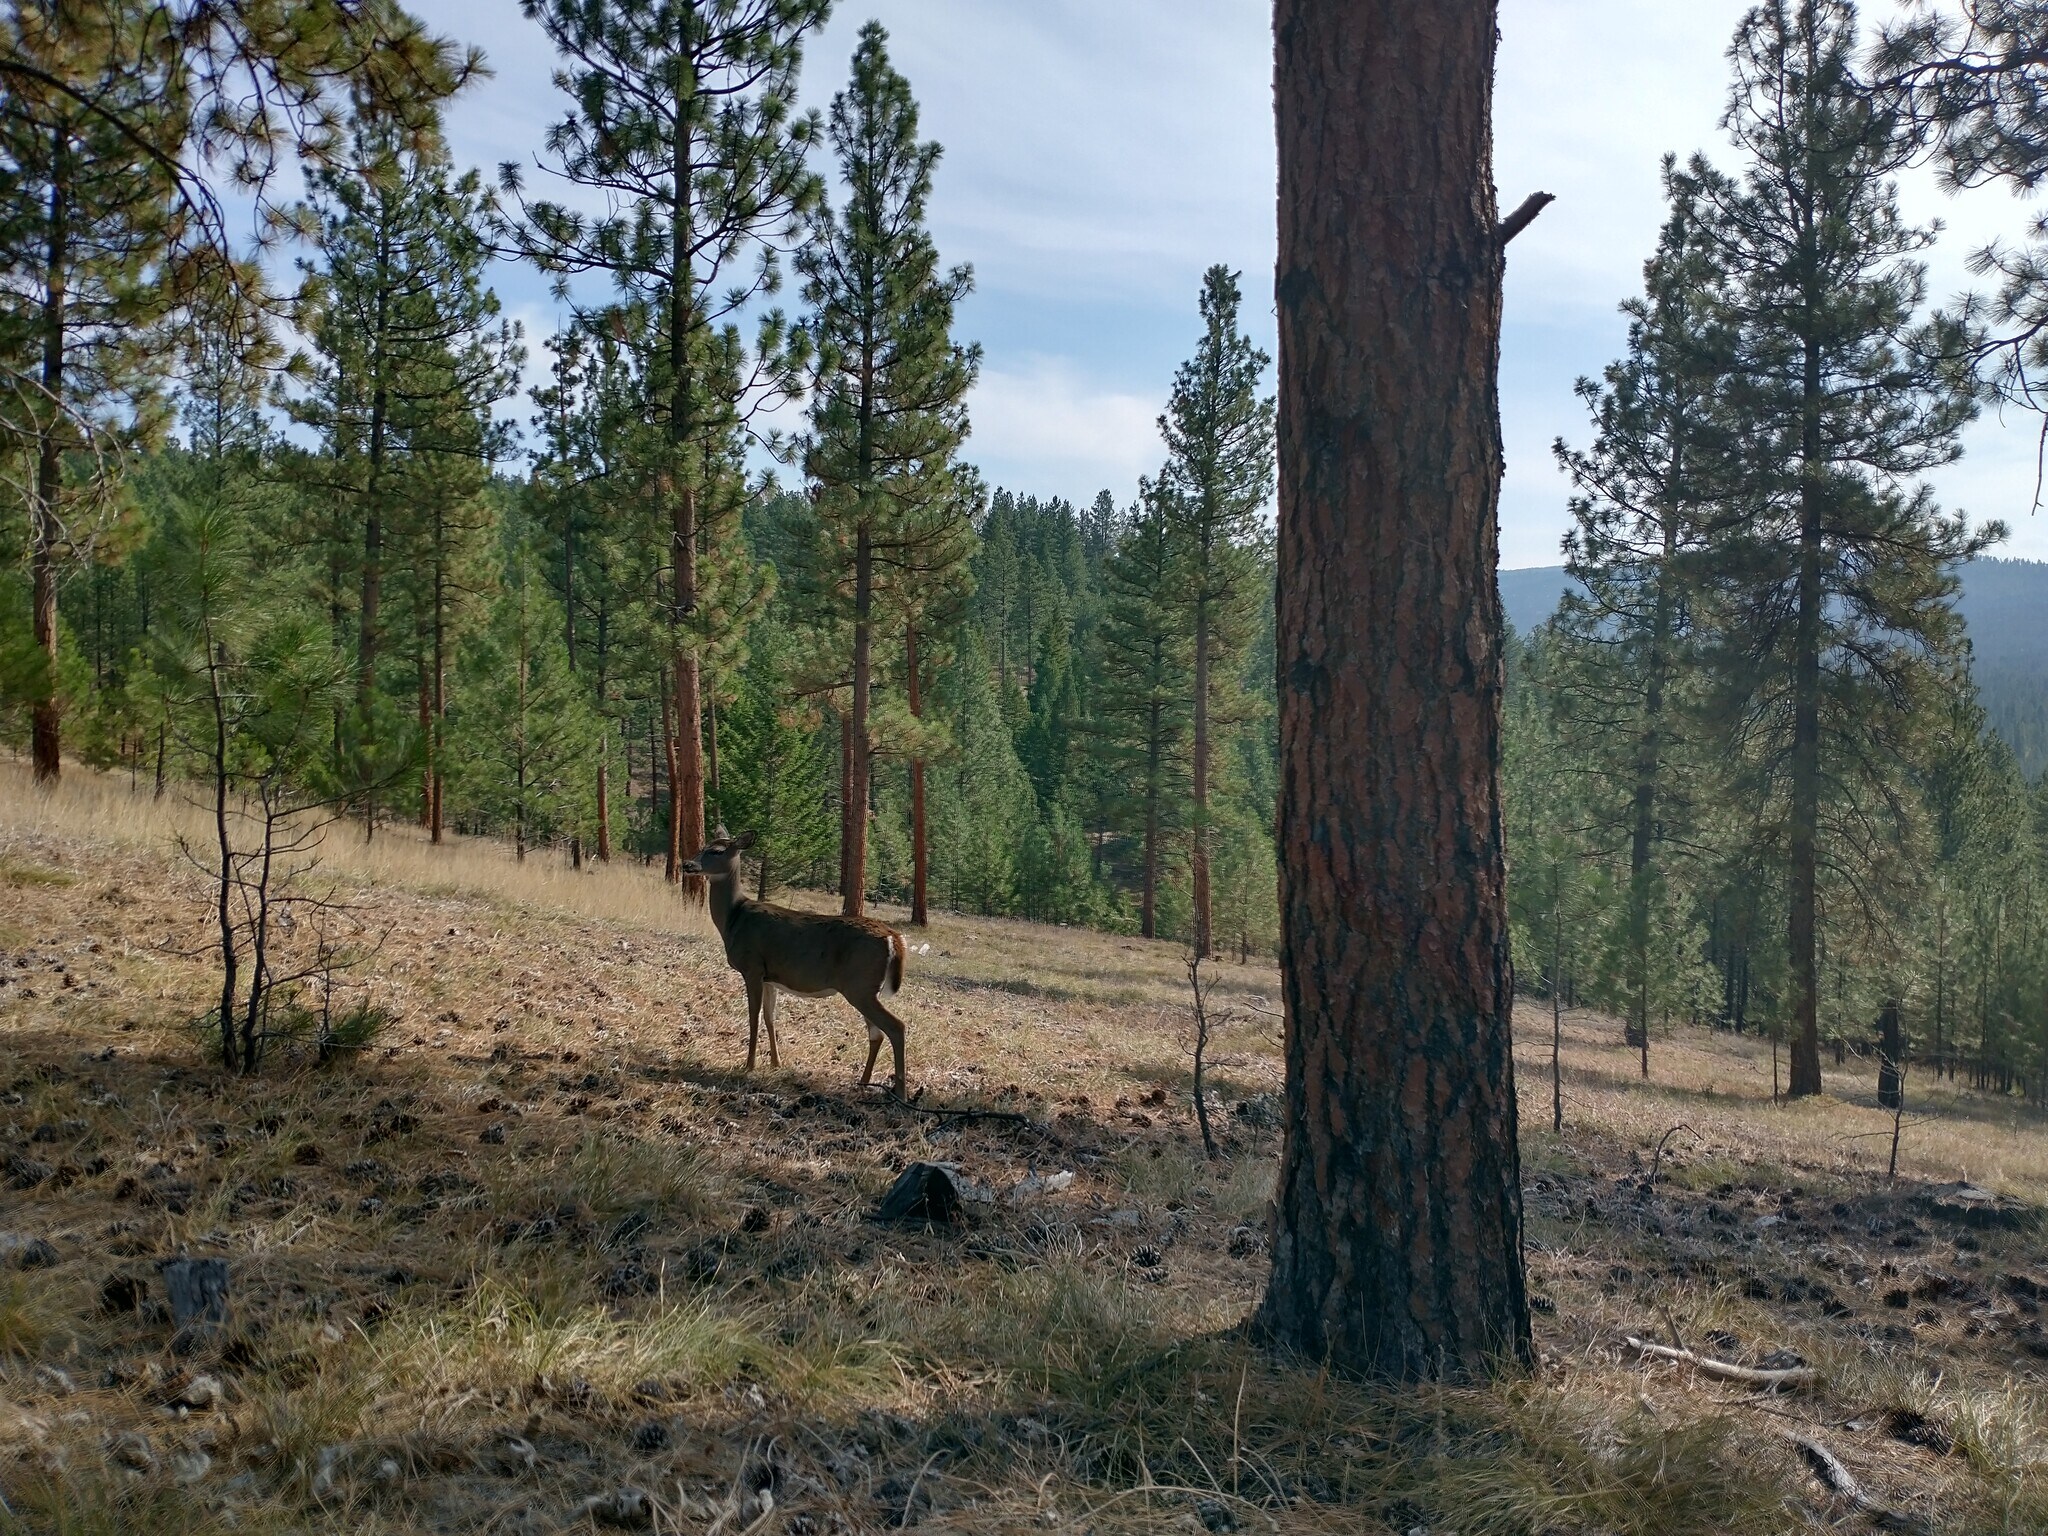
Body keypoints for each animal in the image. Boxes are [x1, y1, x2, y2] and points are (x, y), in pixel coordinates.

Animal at [678, 832, 912, 1095]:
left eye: (716, 851)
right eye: (702, 846)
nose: (687, 864)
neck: (733, 918)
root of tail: (893, 937)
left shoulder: (752, 966)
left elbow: (753, 1016)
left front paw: (749, 1065)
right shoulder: (769, 977)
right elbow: (770, 1017)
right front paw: (775, 1062)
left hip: (859, 985)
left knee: (896, 1027)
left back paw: (900, 1091)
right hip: (866, 989)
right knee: (877, 1033)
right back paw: (863, 1082)